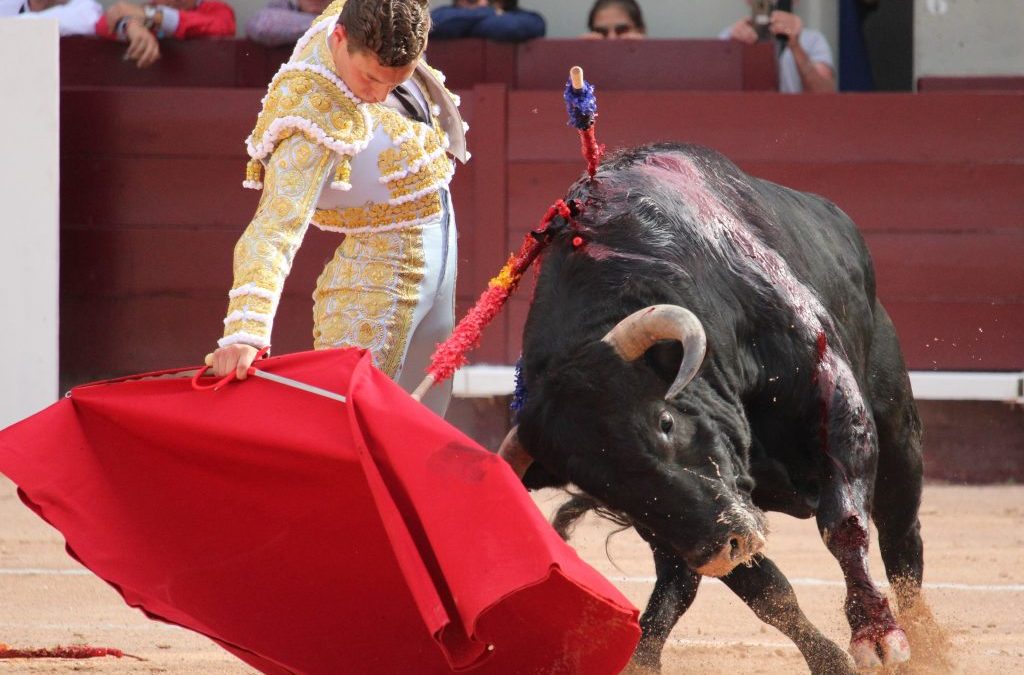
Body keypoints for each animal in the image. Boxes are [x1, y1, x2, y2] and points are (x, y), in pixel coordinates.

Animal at [501, 141, 929, 671]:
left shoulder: (832, 398)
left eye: (665, 421)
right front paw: (830, 662)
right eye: (605, 488)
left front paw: (876, 635)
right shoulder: (693, 520)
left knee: (901, 535)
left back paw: (923, 638)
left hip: (897, 430)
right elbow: (766, 590)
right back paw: (640, 655)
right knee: (677, 583)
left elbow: (845, 526)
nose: (722, 547)